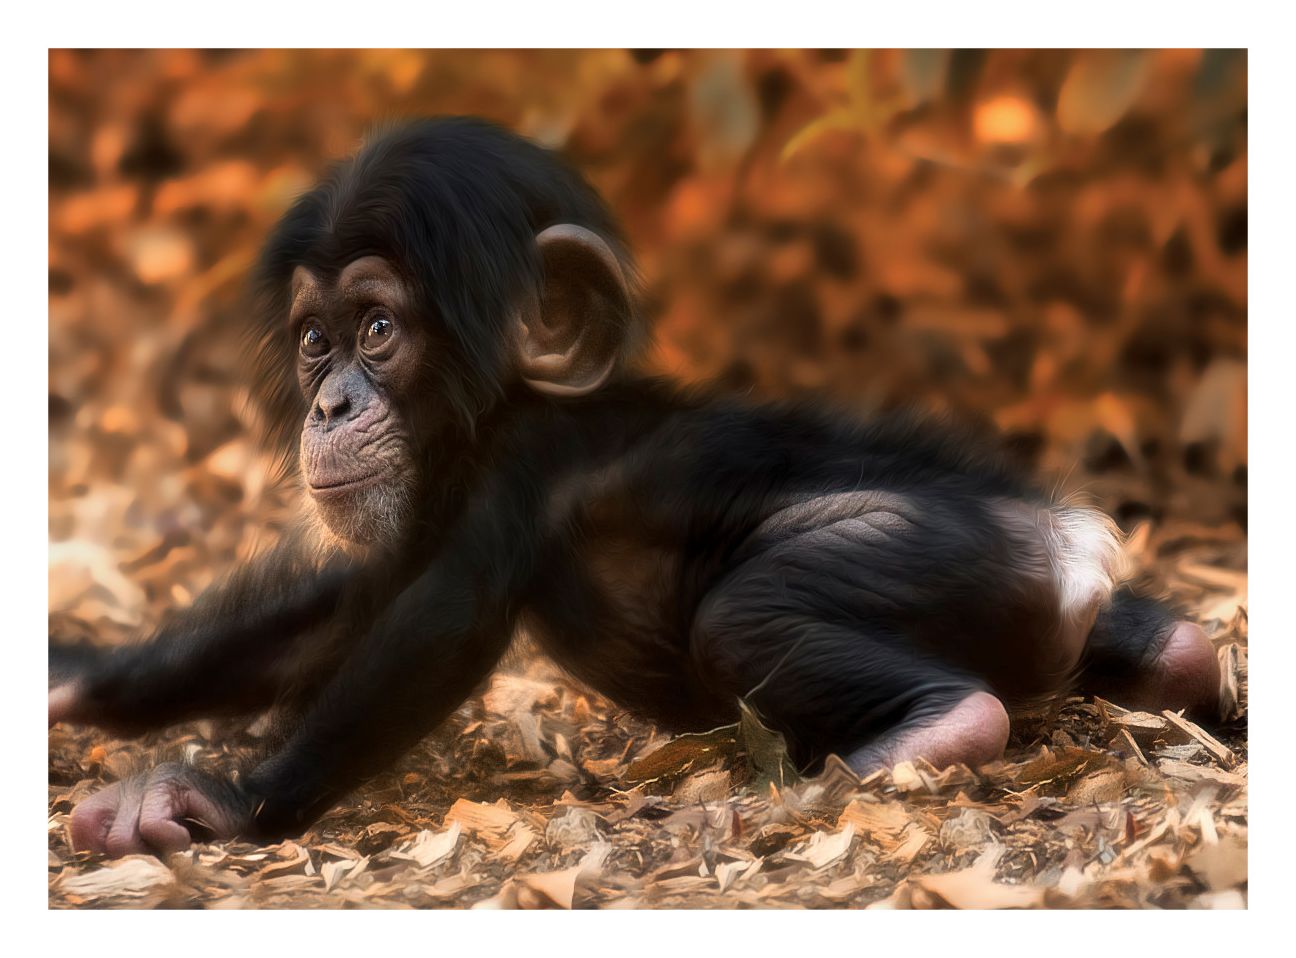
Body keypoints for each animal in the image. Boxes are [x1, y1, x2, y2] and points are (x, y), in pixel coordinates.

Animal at [48, 117, 1221, 859]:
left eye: (379, 329)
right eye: (314, 341)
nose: (332, 403)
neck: (498, 412)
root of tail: (1071, 545)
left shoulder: (519, 469)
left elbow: (434, 625)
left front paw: (226, 803)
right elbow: (339, 612)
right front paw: (74, 678)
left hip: (941, 554)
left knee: (752, 613)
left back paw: (916, 740)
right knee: (1165, 648)